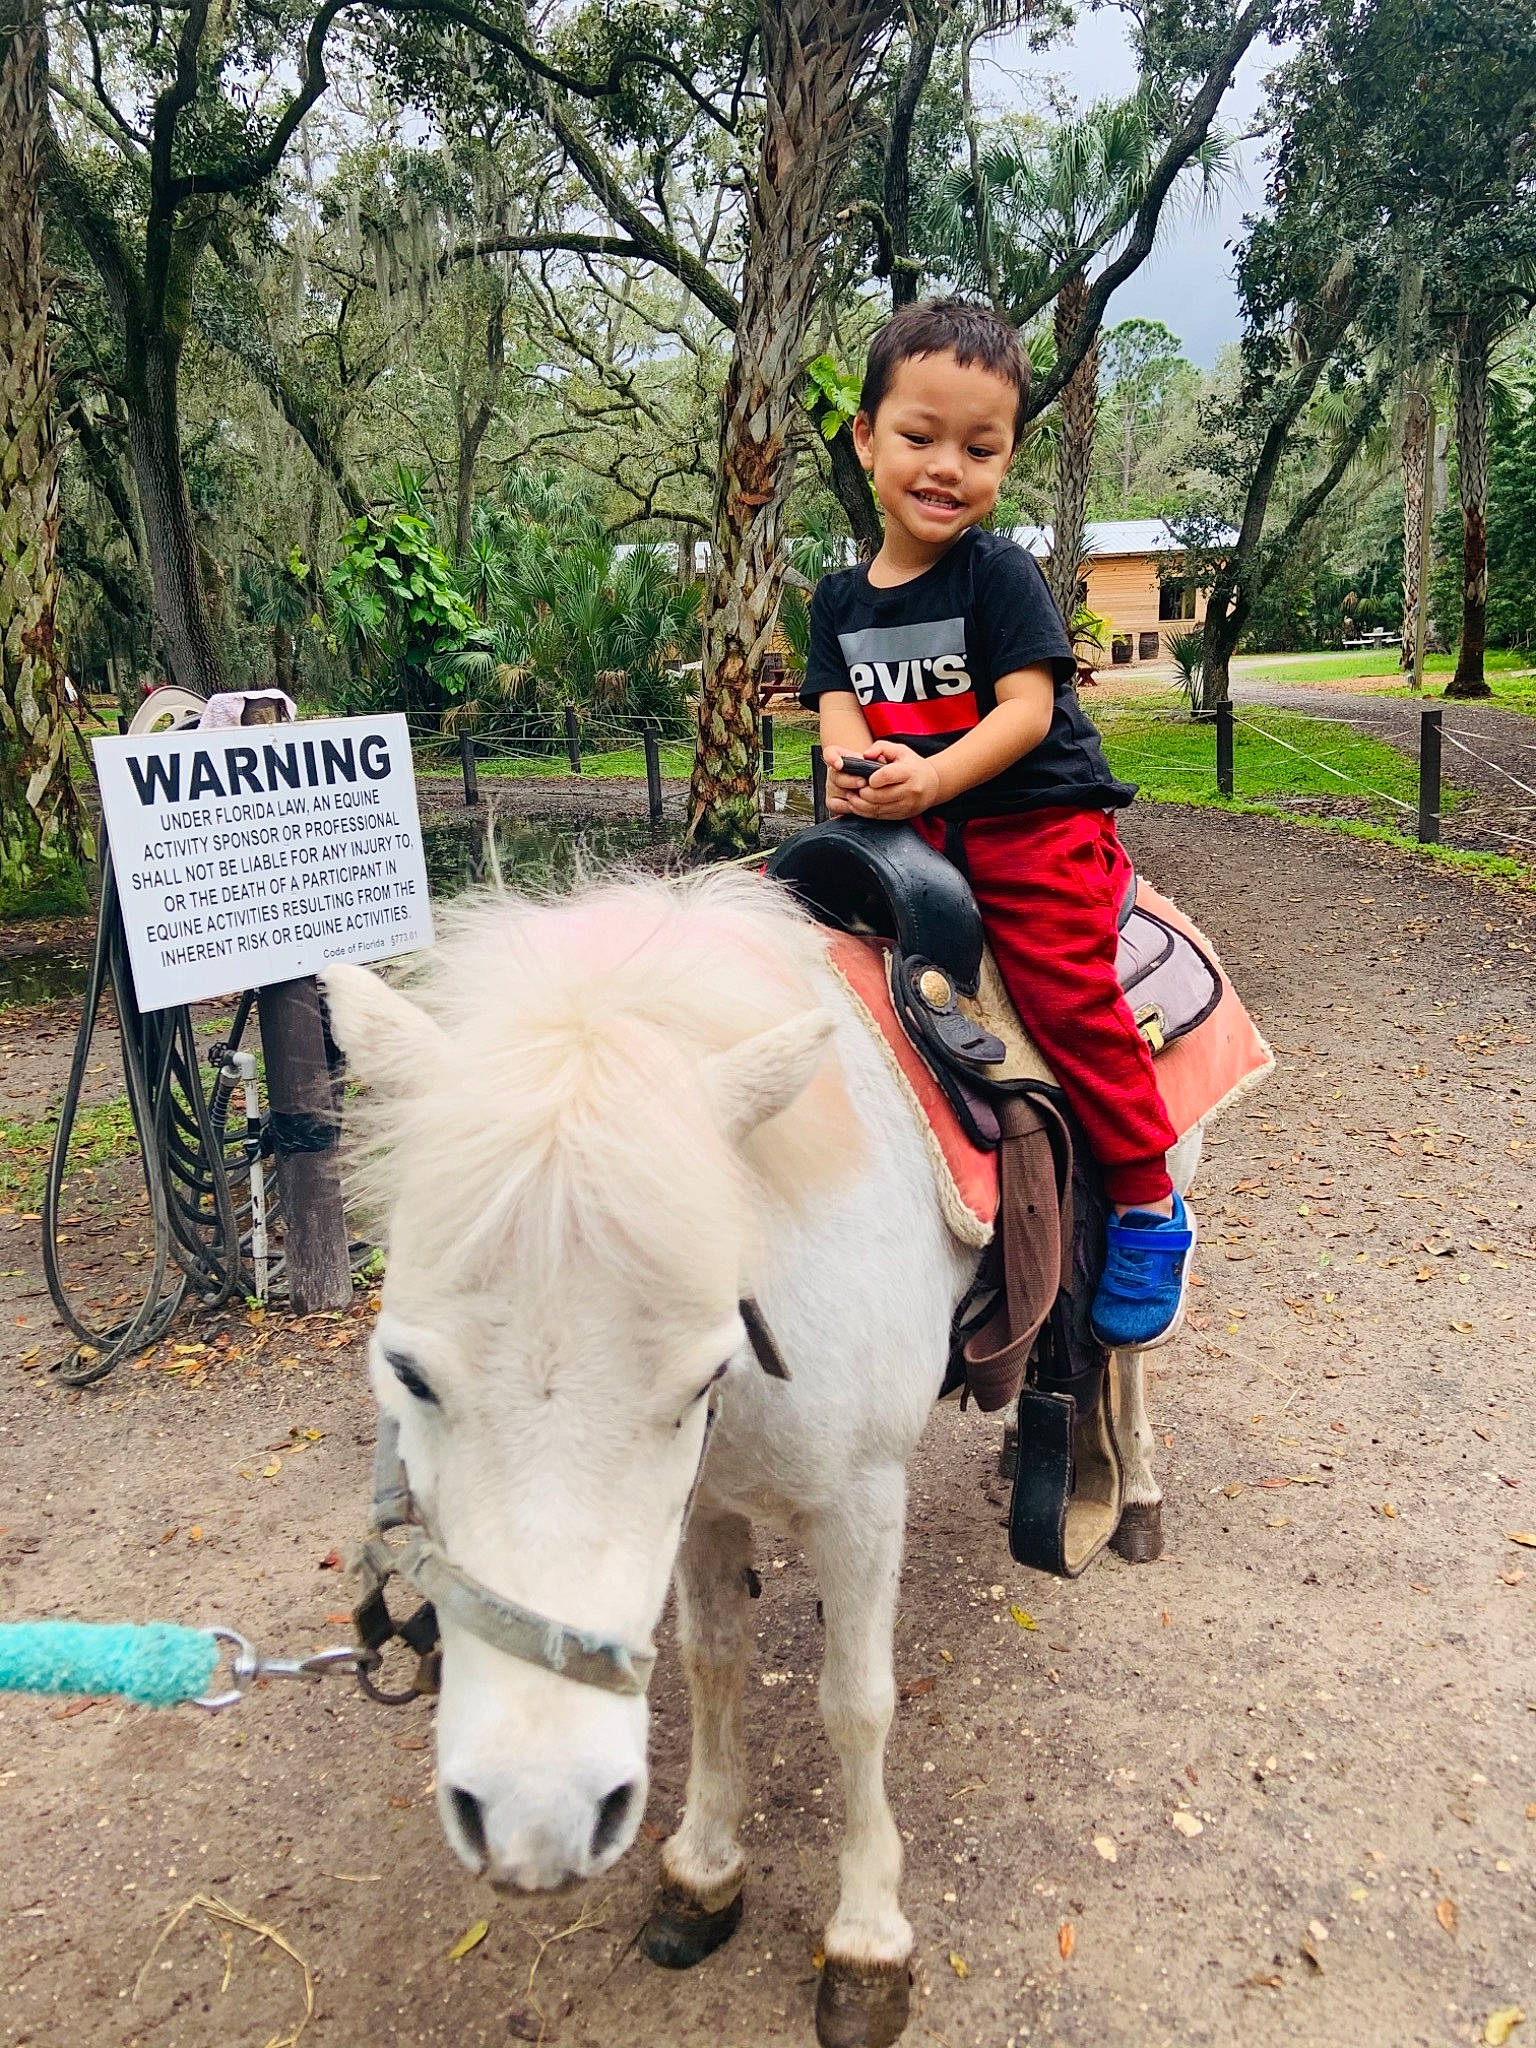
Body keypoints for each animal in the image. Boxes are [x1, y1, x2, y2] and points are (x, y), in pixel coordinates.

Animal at [323, 865, 1190, 2048]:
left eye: (699, 1377)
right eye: (406, 1372)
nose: (535, 1817)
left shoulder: (863, 1501)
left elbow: (856, 1702)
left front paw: (867, 1942)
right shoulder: (704, 1505)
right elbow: (713, 1663)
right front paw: (703, 1872)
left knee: (1130, 1345)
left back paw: (1135, 1496)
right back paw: (1026, 1459)